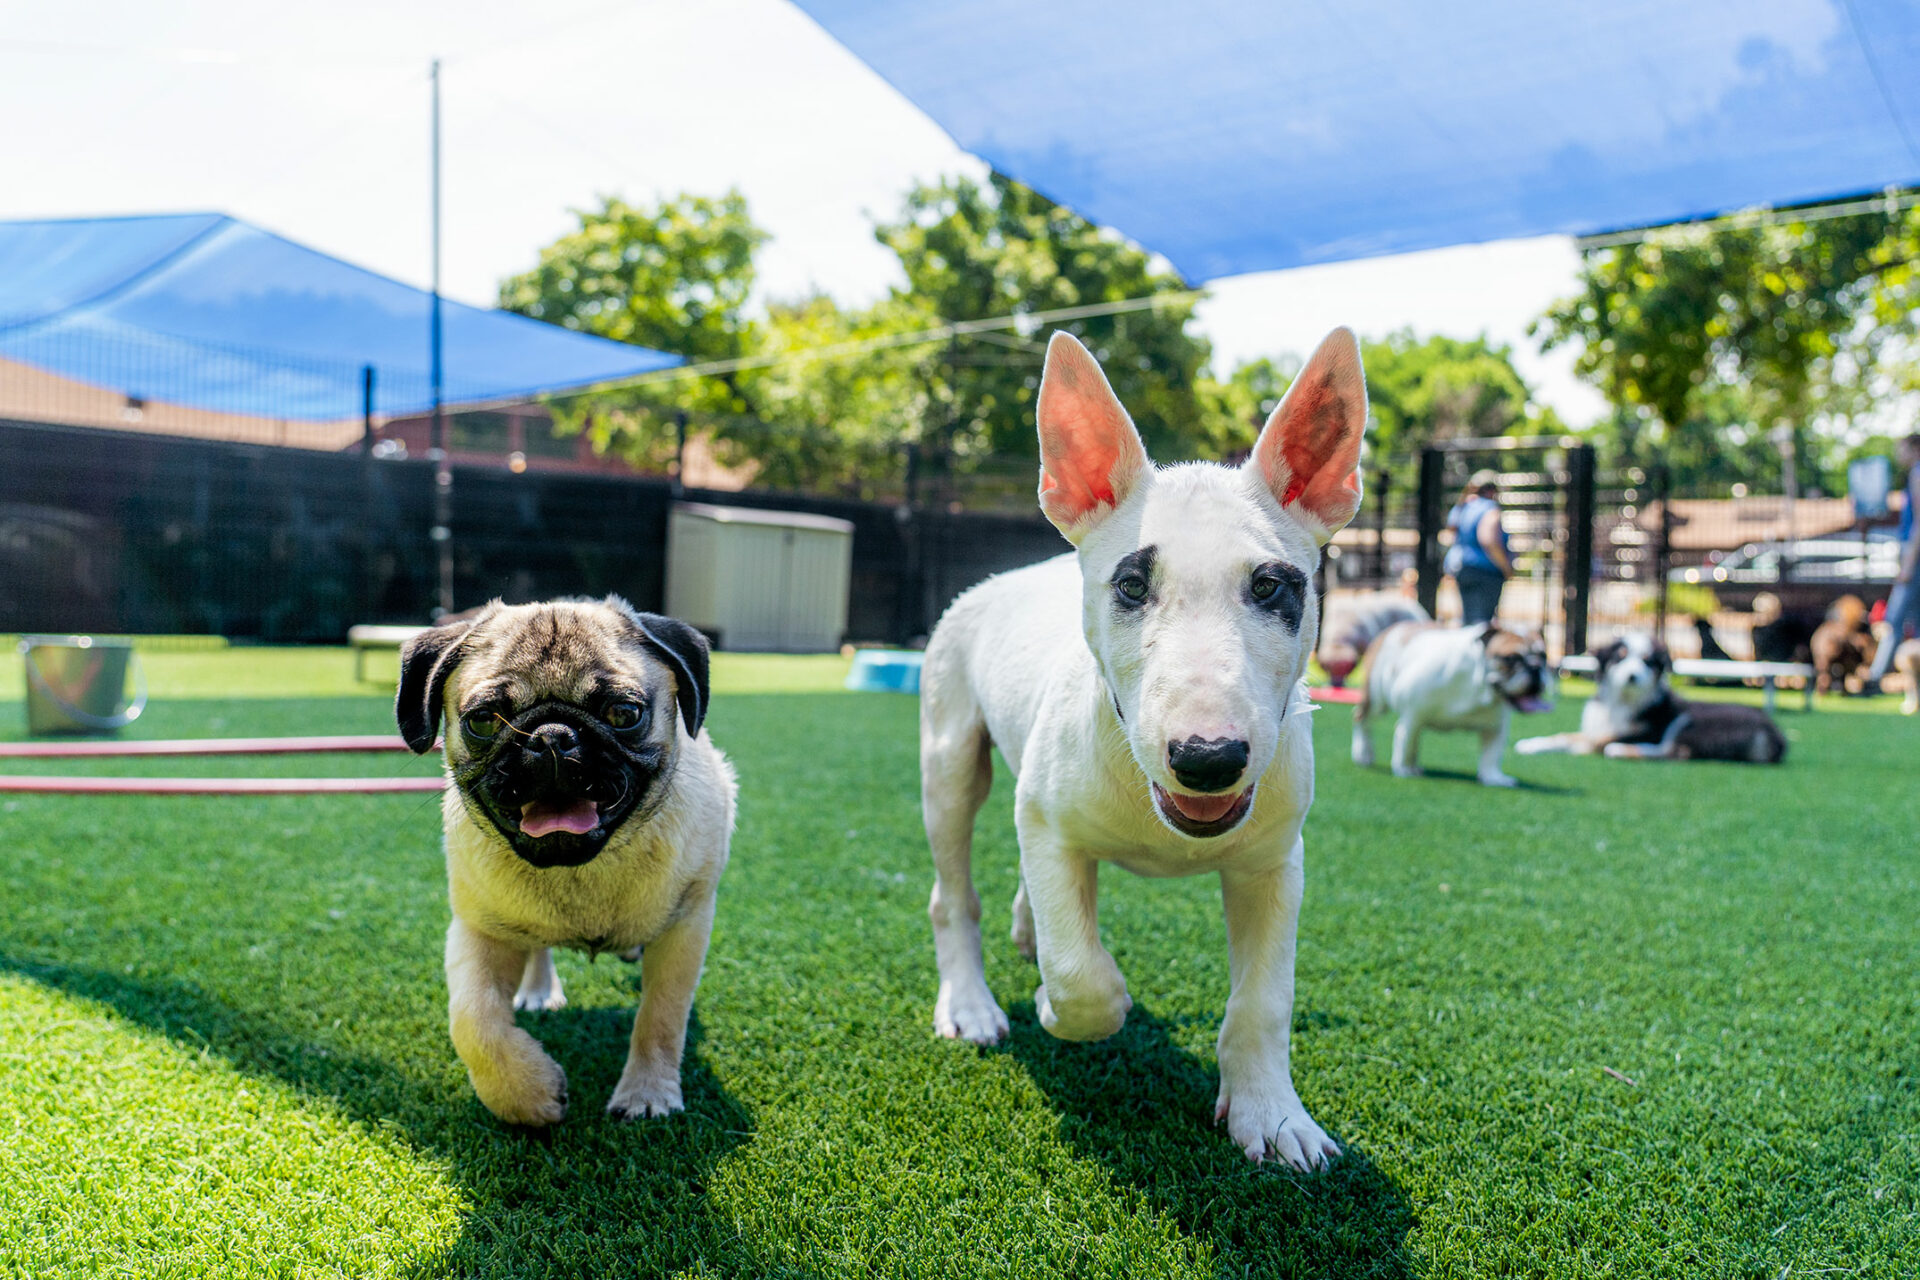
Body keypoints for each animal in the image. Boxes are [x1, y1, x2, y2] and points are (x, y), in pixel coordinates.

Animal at [913, 326, 1367, 1166]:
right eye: (1130, 587)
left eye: (1270, 587)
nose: (1208, 757)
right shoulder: (1049, 823)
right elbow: (1078, 972)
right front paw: (1069, 1006)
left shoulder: (1274, 863)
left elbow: (1265, 1000)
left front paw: (1272, 1115)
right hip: (949, 759)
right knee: (952, 892)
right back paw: (972, 1003)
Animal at [1359, 617, 1551, 786]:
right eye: (1511, 658)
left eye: (1544, 656)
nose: (1536, 667)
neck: (1478, 686)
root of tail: (1395, 627)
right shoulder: (1412, 717)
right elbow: (1405, 743)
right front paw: (1403, 769)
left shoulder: (1496, 728)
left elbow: (1492, 755)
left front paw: (1493, 777)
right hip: (1376, 698)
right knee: (1363, 719)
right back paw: (1363, 753)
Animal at [1520, 637, 1789, 767]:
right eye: (1620, 658)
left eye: (1648, 662)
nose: (1632, 676)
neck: (1622, 701)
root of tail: (1777, 734)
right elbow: (1565, 736)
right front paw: (1531, 744)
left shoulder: (1643, 732)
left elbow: (1592, 742)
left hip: (1691, 721)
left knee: (1676, 752)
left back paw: (1620, 751)